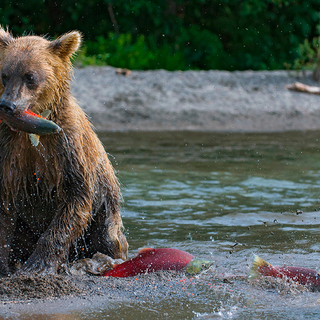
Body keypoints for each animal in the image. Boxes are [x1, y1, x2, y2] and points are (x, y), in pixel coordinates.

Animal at [0, 27, 129, 276]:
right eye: (5, 74)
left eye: (30, 76)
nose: (7, 105)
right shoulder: (9, 149)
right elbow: (5, 203)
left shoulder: (66, 147)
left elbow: (76, 198)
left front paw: (38, 265)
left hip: (105, 211)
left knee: (109, 238)